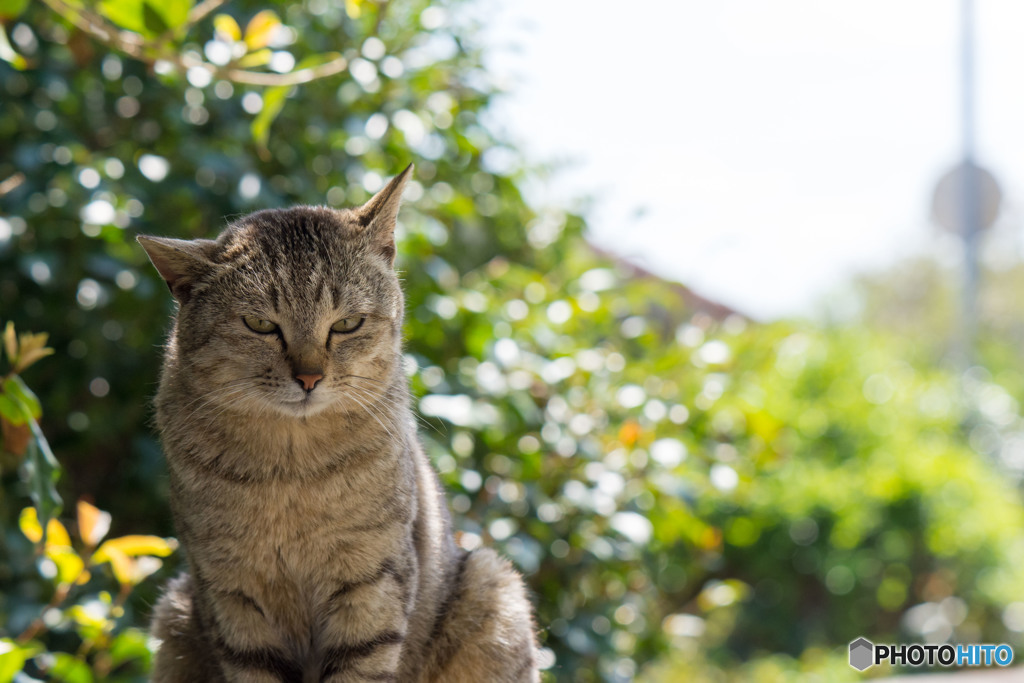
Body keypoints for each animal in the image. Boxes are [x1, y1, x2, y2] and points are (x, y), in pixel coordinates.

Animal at [140, 166, 540, 683]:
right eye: (259, 325)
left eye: (348, 323)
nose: (309, 377)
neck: (290, 472)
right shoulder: (231, 594)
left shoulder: (371, 582)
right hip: (175, 611)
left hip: (493, 583)